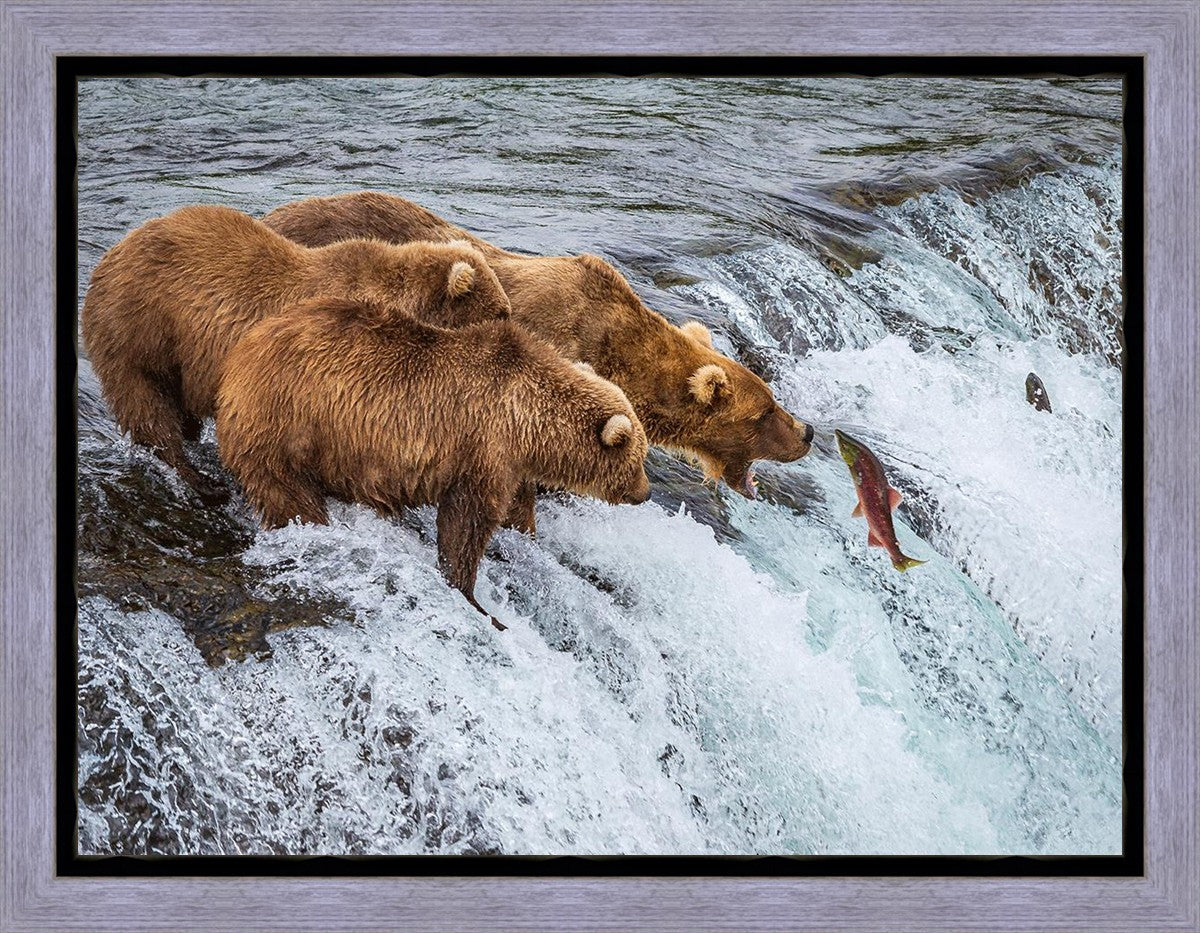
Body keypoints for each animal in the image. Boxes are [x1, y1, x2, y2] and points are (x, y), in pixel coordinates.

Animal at [81, 204, 512, 500]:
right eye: (501, 312)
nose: (514, 330)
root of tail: (110, 255)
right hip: (140, 329)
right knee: (147, 406)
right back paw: (199, 480)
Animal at [215, 296, 651, 630]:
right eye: (639, 458)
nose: (645, 493)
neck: (527, 420)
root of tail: (239, 355)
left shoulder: (510, 463)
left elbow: (515, 509)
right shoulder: (482, 447)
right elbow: (467, 522)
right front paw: (475, 599)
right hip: (287, 424)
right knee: (288, 494)